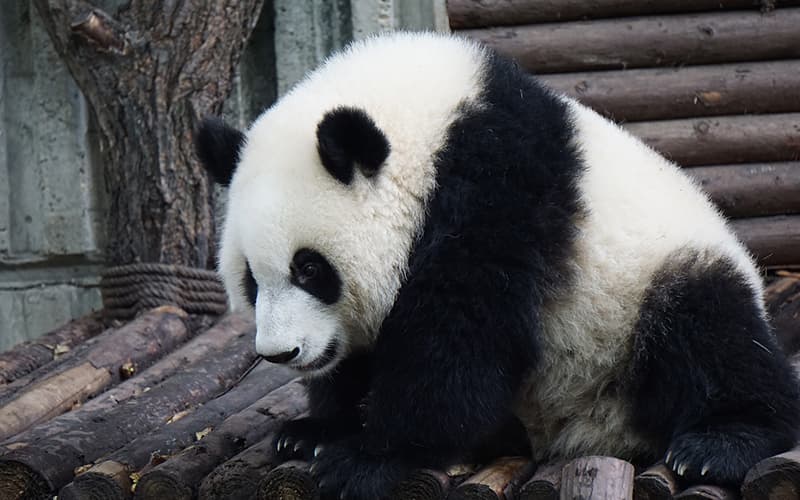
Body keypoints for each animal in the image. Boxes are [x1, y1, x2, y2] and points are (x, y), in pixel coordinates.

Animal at [196, 32, 800, 499]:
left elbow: (458, 339)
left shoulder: (495, 192)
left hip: (650, 290)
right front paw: (314, 430)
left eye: (310, 269)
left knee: (709, 330)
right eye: (250, 278)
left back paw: (719, 443)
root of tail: (591, 432)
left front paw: (368, 458)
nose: (282, 353)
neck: (427, 124)